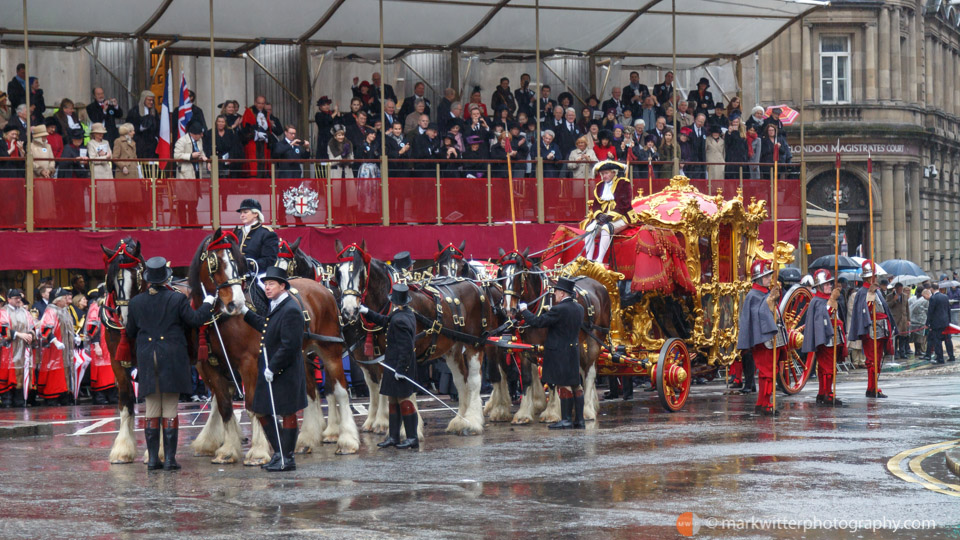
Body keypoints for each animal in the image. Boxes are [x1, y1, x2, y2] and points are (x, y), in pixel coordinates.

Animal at [189, 230, 362, 462]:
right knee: (310, 392)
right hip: (299, 354)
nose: (236, 304)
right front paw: (228, 450)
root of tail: (322, 290)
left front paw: (258, 451)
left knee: (340, 391)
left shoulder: (249, 363)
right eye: (215, 261)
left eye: (237, 263)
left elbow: (253, 405)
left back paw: (347, 440)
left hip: (330, 350)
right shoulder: (211, 367)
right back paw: (306, 440)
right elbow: (224, 407)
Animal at [492, 250, 612, 426]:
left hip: (595, 340)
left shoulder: (549, 348)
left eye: (519, 276)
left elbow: (551, 379)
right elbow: (527, 379)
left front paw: (552, 412)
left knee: (590, 372)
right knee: (582, 369)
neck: (538, 307)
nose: (508, 309)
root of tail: (599, 286)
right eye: (501, 276)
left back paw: (588, 410)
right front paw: (523, 414)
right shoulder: (524, 349)